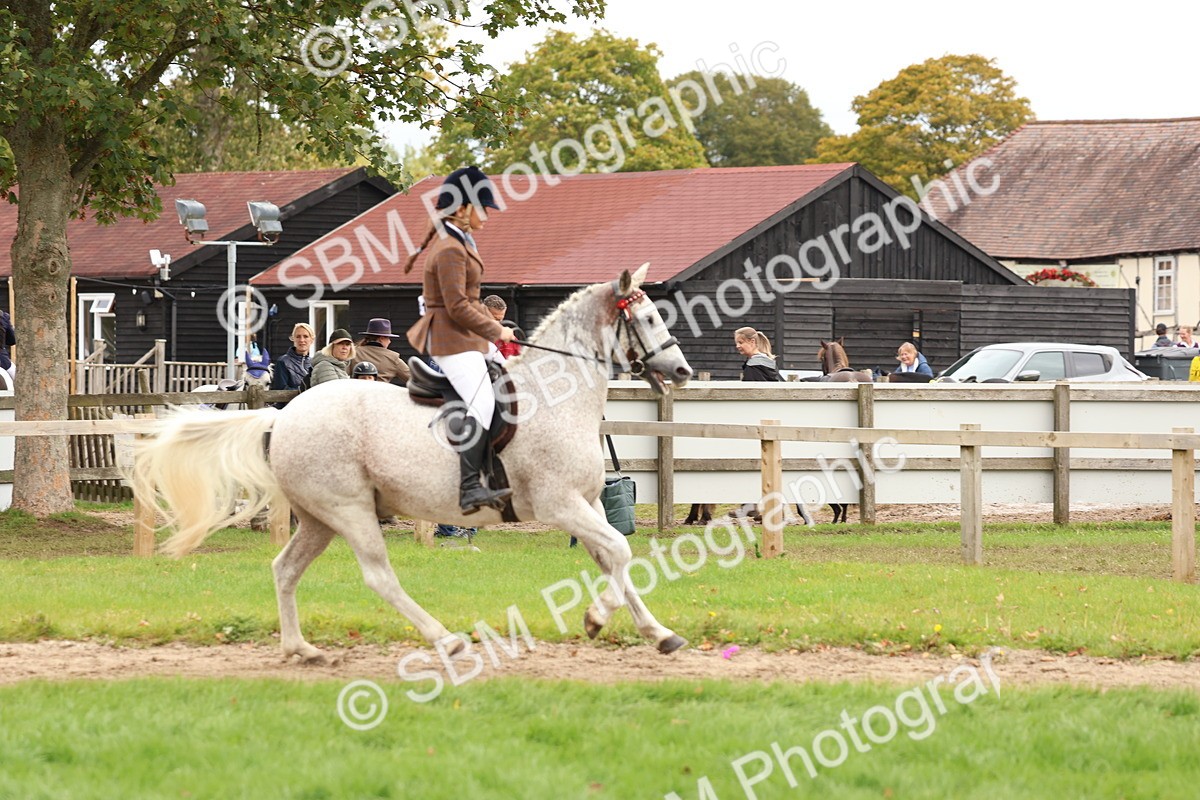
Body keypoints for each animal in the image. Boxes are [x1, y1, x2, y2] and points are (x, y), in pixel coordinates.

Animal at [132, 264, 694, 664]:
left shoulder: (588, 504)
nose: (683, 369)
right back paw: (446, 641)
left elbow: (615, 558)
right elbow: (620, 552)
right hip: (350, 511)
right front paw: (597, 619)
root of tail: (285, 412)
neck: (555, 395)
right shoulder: (559, 504)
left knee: (285, 569)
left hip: (318, 517)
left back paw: (301, 649)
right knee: (379, 577)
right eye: (648, 319)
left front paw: (658, 633)